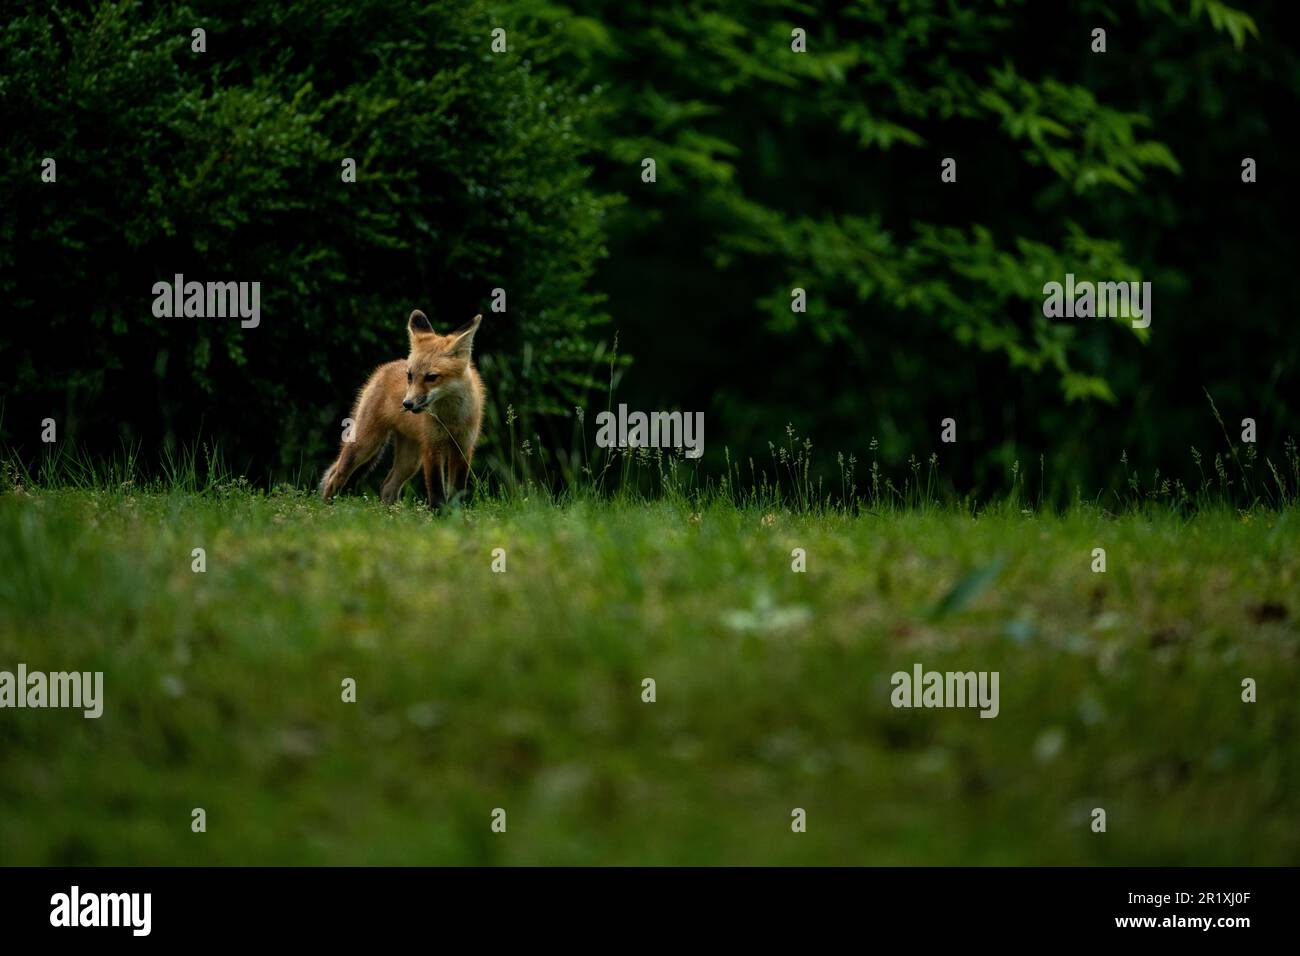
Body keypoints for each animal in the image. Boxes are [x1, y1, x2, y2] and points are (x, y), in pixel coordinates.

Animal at [320, 309, 485, 508]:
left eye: (431, 377)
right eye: (410, 376)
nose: (407, 404)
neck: (449, 418)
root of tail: (385, 367)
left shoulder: (463, 448)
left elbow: (457, 492)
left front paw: (456, 514)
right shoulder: (432, 448)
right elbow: (436, 491)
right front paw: (440, 514)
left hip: (410, 460)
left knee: (387, 486)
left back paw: (390, 513)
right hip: (365, 445)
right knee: (334, 477)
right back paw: (328, 508)